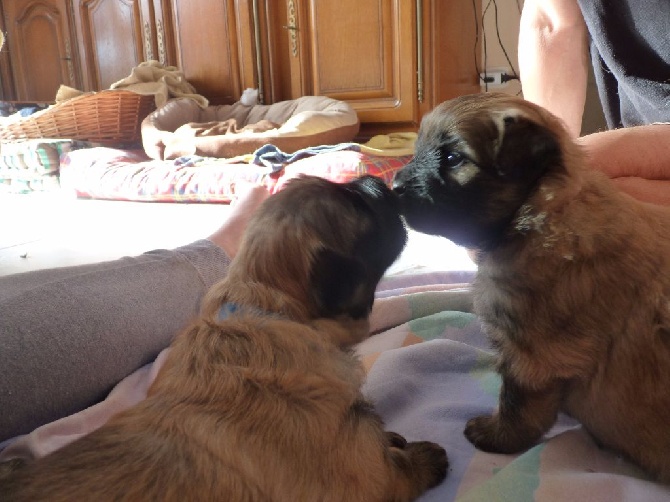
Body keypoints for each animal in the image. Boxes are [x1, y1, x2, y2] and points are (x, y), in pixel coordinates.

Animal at [1, 176, 452, 502]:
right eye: (360, 205)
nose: (378, 181)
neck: (265, 303)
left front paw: (393, 437)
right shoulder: (362, 471)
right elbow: (397, 469)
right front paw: (425, 456)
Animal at [394, 93, 670, 482]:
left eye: (452, 158)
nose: (394, 187)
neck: (539, 212)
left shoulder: (534, 357)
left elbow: (517, 404)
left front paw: (494, 435)